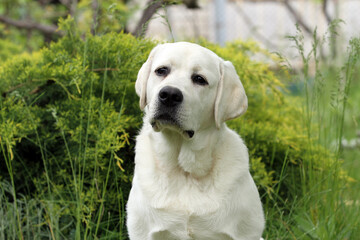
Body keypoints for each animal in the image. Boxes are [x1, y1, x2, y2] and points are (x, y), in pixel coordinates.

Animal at [126, 42, 264, 239]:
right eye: (161, 70)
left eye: (200, 79)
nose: (169, 94)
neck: (185, 172)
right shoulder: (142, 232)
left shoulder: (247, 232)